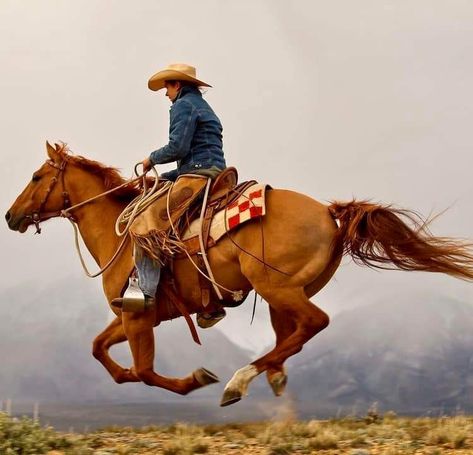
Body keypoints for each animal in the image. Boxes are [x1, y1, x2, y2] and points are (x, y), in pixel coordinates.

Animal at [5, 142, 472, 406]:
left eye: (36, 176)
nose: (10, 216)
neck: (115, 230)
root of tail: (328, 213)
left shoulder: (138, 315)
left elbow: (146, 371)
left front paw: (198, 379)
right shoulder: (134, 315)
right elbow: (100, 350)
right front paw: (127, 375)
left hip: (276, 286)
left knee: (314, 323)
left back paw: (238, 380)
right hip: (286, 293)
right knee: (292, 336)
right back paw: (272, 375)